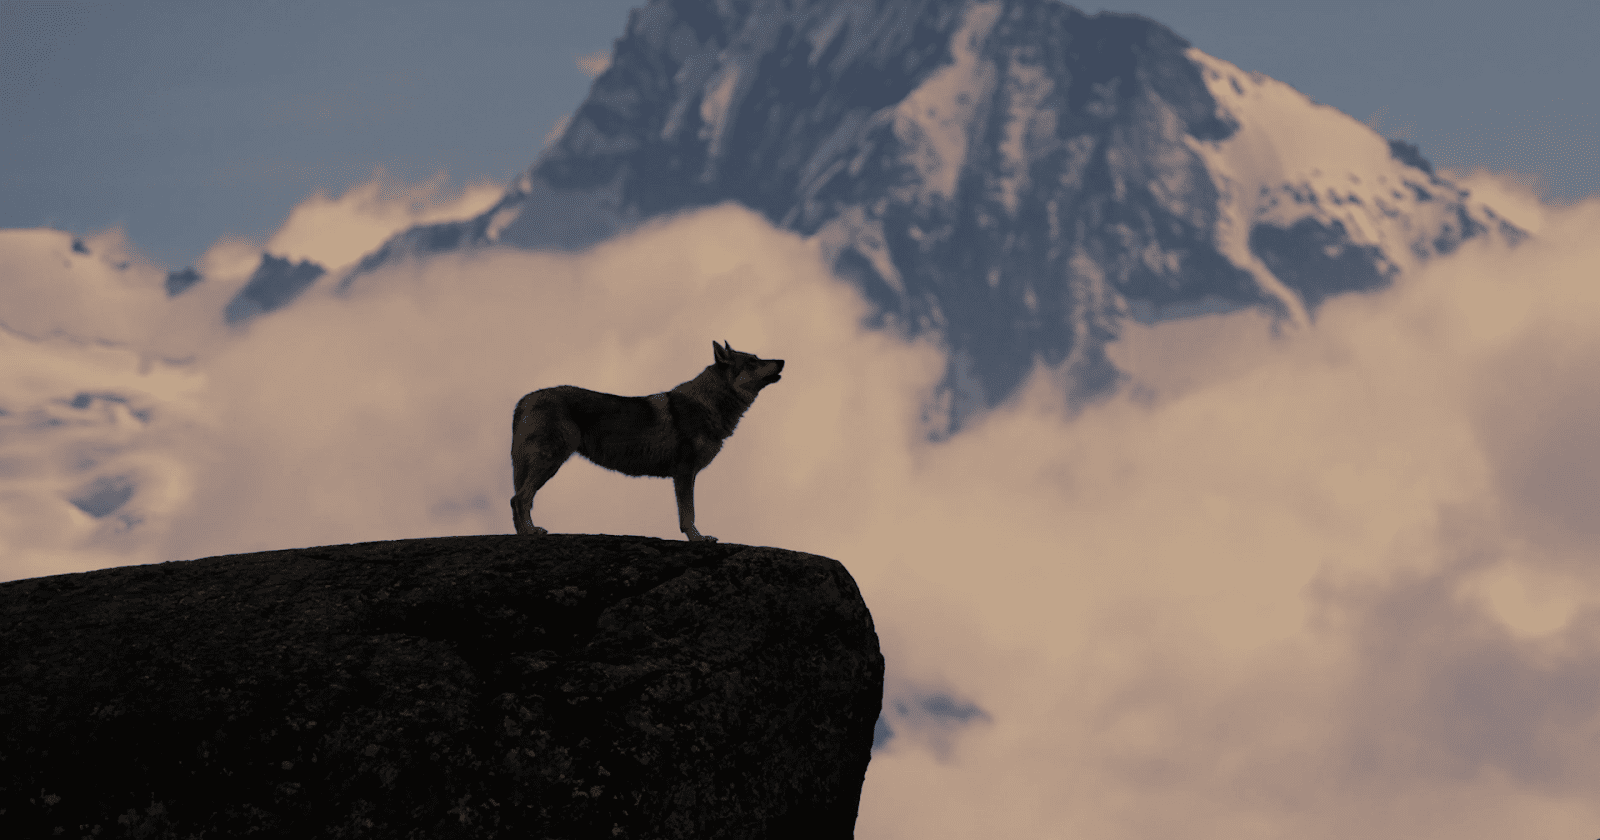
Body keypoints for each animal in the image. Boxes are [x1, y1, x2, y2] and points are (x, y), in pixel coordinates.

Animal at [508, 339, 784, 540]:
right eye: (752, 361)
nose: (782, 360)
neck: (708, 403)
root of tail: (525, 399)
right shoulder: (684, 473)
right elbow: (689, 515)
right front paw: (698, 539)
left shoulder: (683, 474)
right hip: (550, 462)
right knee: (519, 499)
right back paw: (530, 533)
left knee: (517, 499)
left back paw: (524, 534)